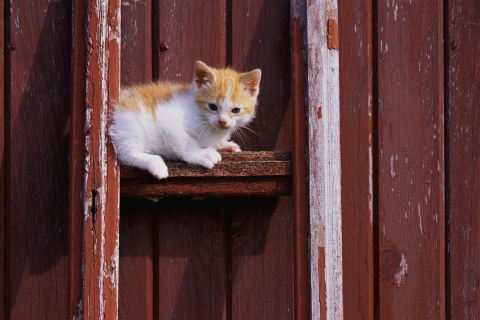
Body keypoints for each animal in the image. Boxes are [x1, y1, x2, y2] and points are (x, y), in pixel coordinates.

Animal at [108, 61, 260, 179]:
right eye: (212, 107)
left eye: (236, 110)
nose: (222, 121)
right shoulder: (169, 121)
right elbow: (186, 143)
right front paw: (203, 154)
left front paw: (225, 145)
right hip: (131, 123)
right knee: (126, 153)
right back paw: (155, 163)